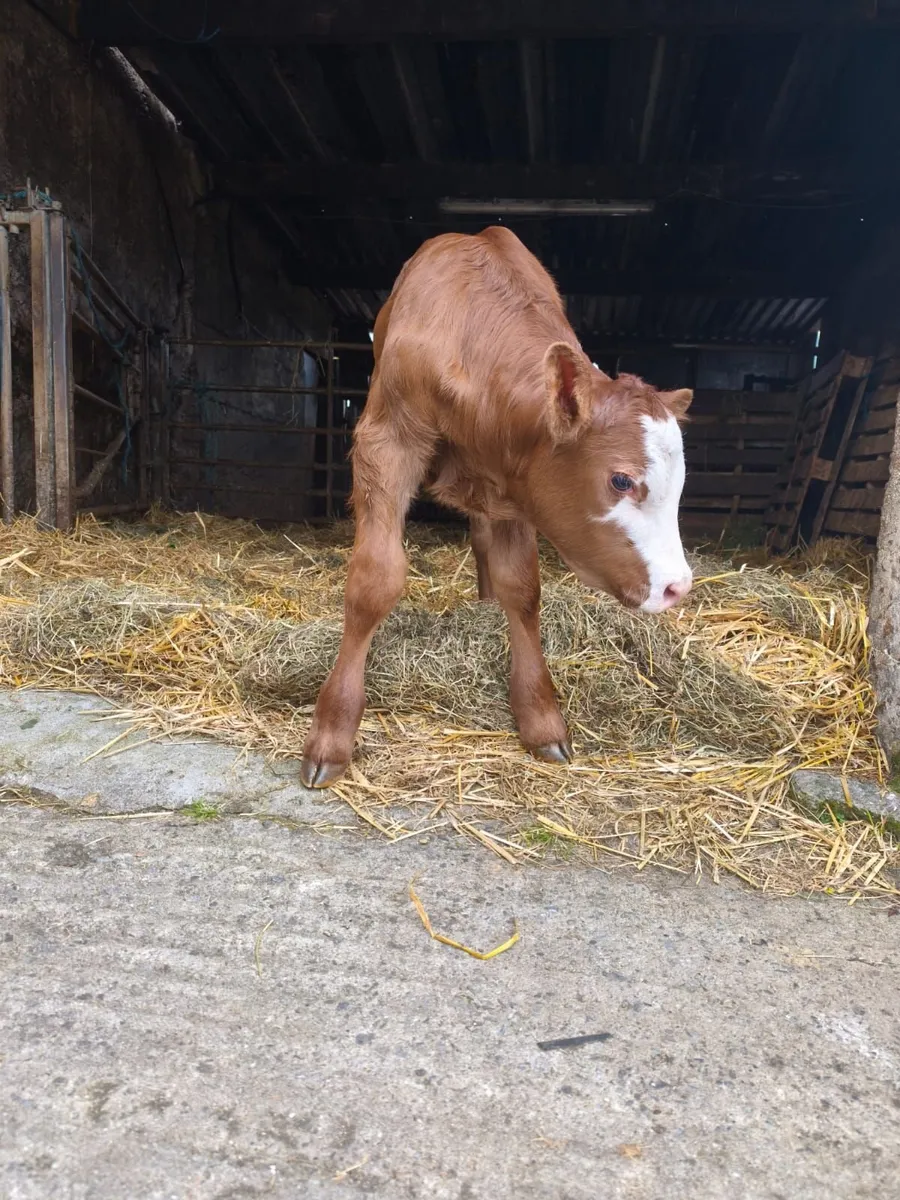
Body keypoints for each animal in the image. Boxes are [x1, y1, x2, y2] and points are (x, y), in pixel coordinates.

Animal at [300, 226, 693, 788]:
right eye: (621, 479)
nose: (678, 586)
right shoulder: (384, 442)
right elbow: (375, 580)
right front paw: (332, 731)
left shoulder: (517, 485)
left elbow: (522, 588)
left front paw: (540, 715)